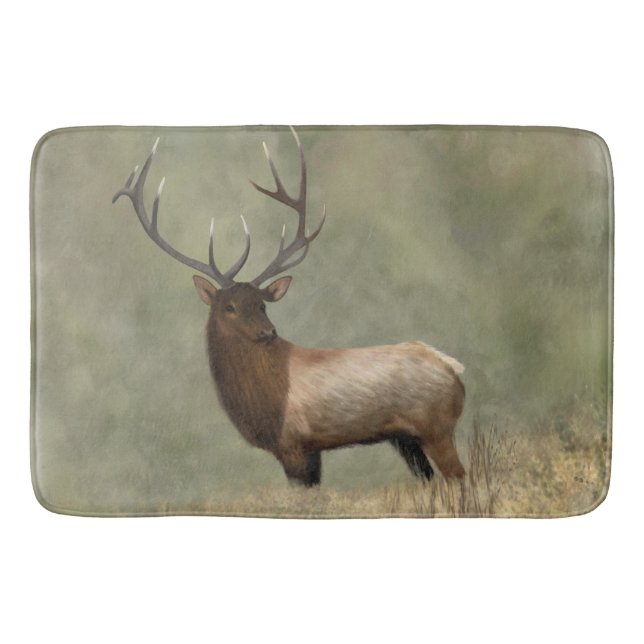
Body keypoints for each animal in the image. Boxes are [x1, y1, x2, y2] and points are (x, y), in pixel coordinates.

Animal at [112, 128, 466, 487]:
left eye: (262, 304)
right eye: (230, 306)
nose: (269, 332)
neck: (260, 406)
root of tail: (453, 367)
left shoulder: (292, 443)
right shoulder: (309, 449)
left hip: (436, 427)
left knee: (460, 476)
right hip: (406, 438)